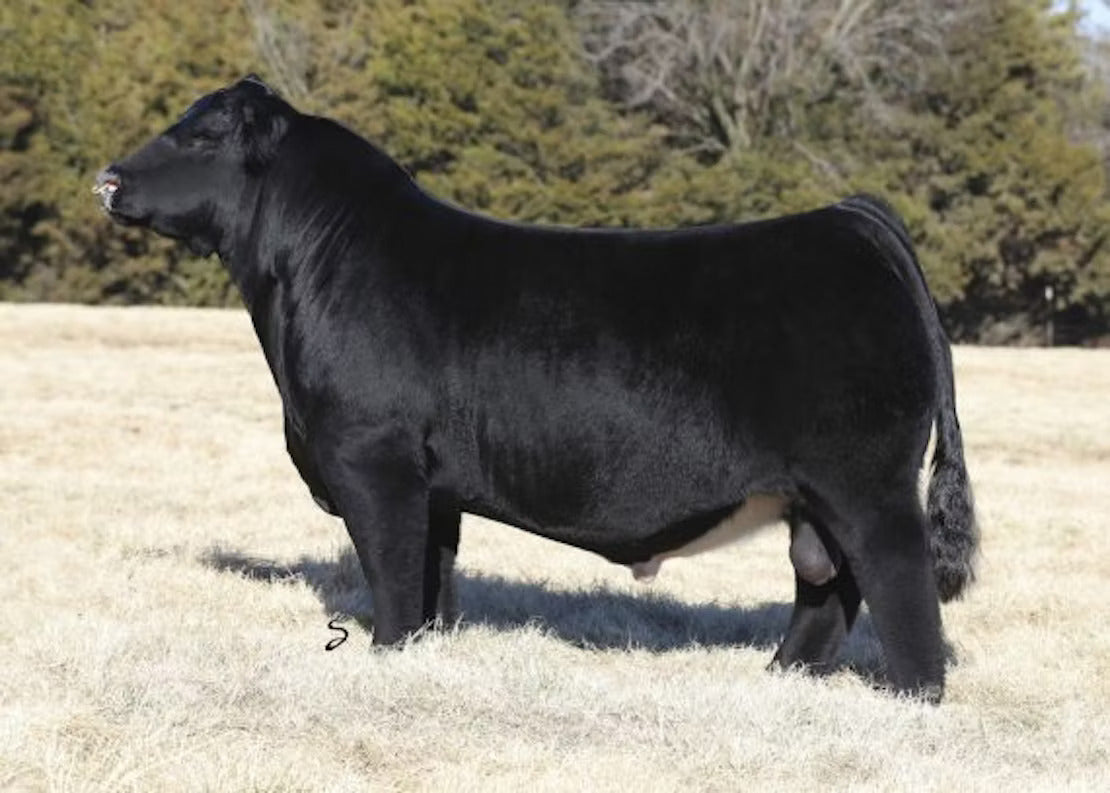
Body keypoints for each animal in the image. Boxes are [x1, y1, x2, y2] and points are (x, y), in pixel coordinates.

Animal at [95, 75, 978, 701]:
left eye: (201, 133)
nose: (107, 179)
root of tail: (845, 217)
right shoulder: (434, 483)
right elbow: (434, 577)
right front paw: (425, 650)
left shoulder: (371, 458)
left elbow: (391, 569)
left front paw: (383, 653)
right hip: (818, 496)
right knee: (827, 586)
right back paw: (780, 678)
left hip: (867, 484)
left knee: (900, 584)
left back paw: (908, 698)